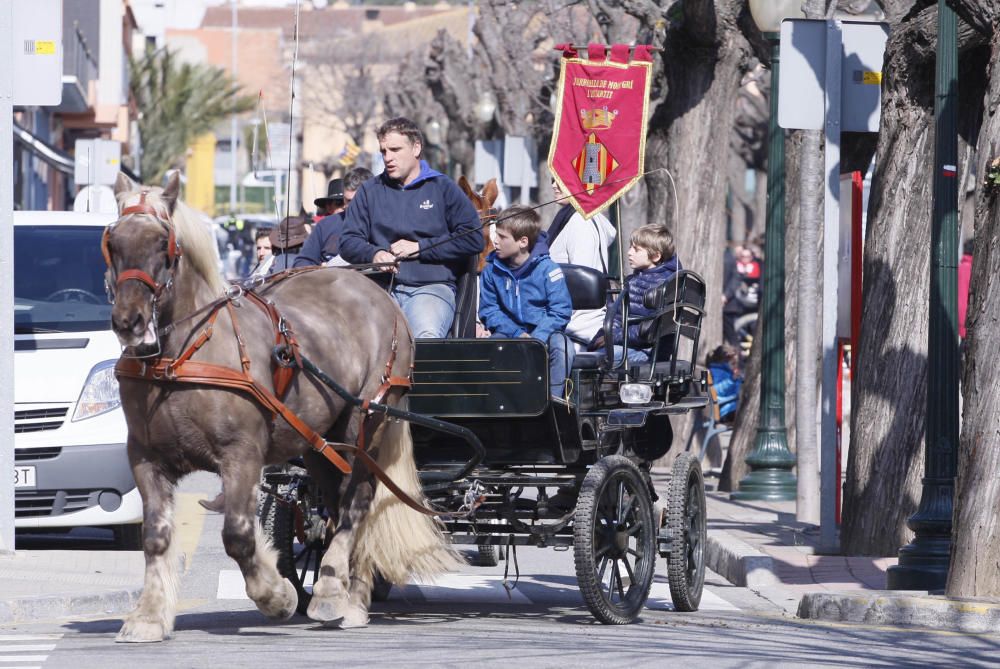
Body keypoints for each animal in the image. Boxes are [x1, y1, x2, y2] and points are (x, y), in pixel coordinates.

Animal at [105, 172, 458, 640]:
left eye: (163, 242)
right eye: (112, 241)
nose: (129, 321)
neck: (181, 357)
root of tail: (379, 295)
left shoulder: (242, 455)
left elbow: (238, 534)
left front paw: (276, 597)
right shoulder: (145, 457)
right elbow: (155, 537)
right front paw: (147, 616)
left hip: (366, 422)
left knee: (358, 500)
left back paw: (335, 595)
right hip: (321, 444)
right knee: (336, 504)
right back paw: (350, 591)